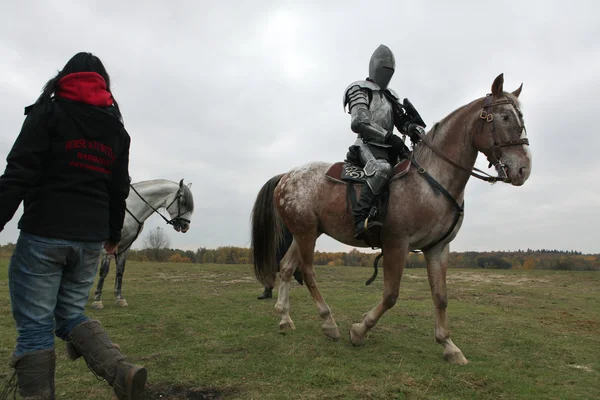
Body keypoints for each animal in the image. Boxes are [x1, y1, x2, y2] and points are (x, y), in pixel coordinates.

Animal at [90, 179, 193, 310]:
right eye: (183, 202)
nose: (186, 226)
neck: (129, 208)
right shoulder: (107, 247)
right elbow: (104, 271)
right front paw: (97, 300)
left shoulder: (125, 246)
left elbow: (120, 270)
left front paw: (120, 298)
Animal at [251, 73, 532, 364]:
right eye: (505, 117)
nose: (523, 169)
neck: (431, 180)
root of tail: (286, 175)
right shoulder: (396, 245)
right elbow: (390, 295)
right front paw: (359, 330)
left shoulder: (438, 248)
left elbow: (440, 296)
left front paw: (448, 345)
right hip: (306, 233)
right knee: (307, 272)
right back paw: (328, 323)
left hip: (304, 232)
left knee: (285, 267)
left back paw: (285, 318)